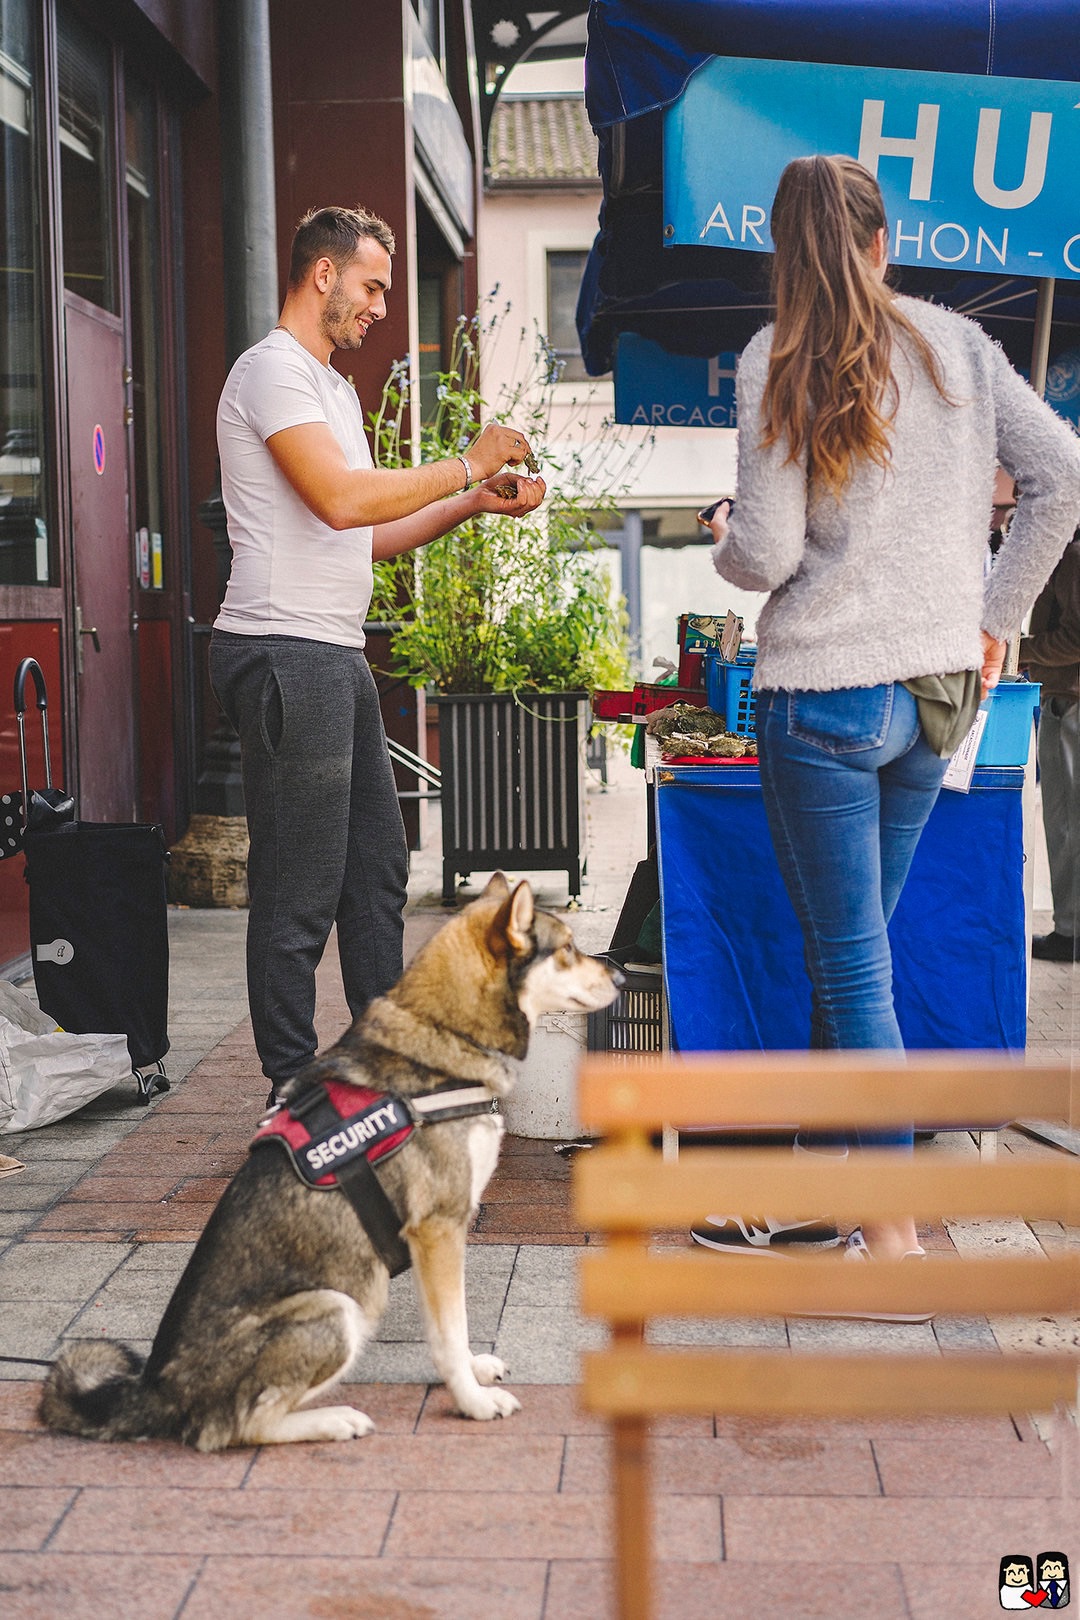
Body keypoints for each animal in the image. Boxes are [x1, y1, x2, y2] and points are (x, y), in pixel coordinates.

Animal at [38, 881, 621, 1451]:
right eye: (568, 949)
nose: (618, 973)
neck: (444, 1036)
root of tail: (157, 1390)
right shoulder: (439, 1227)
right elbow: (449, 1332)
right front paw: (472, 1401)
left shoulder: (425, 1238)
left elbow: (446, 1325)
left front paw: (473, 1371)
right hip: (337, 1308)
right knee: (232, 1428)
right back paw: (335, 1419)